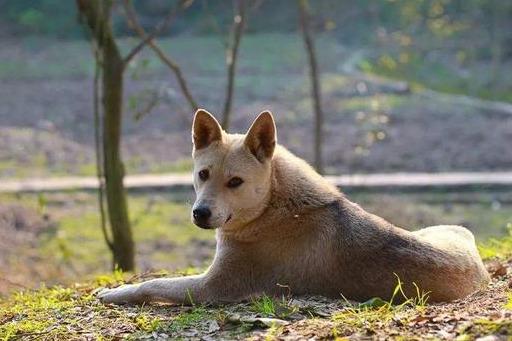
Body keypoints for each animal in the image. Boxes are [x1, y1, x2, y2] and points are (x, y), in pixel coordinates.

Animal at [98, 108, 490, 302]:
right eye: (202, 174)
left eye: (235, 182)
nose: (200, 213)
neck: (273, 206)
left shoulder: (212, 287)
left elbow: (152, 285)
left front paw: (114, 292)